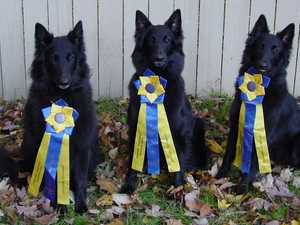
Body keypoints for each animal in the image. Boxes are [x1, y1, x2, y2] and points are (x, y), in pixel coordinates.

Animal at [0, 21, 102, 213]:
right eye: (54, 58)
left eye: (70, 57)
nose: (64, 82)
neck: (62, 98)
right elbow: (53, 180)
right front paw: (59, 206)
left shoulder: (82, 145)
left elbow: (80, 179)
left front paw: (81, 207)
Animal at [120, 9, 206, 193]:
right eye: (151, 40)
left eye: (167, 40)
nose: (159, 58)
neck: (157, 79)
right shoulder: (136, 129)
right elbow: (133, 164)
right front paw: (128, 185)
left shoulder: (178, 133)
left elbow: (178, 164)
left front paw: (177, 190)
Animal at [214, 14, 298, 193]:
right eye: (260, 46)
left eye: (275, 50)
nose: (262, 66)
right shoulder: (235, 127)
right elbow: (227, 156)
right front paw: (218, 178)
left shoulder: (262, 135)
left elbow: (252, 164)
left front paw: (242, 188)